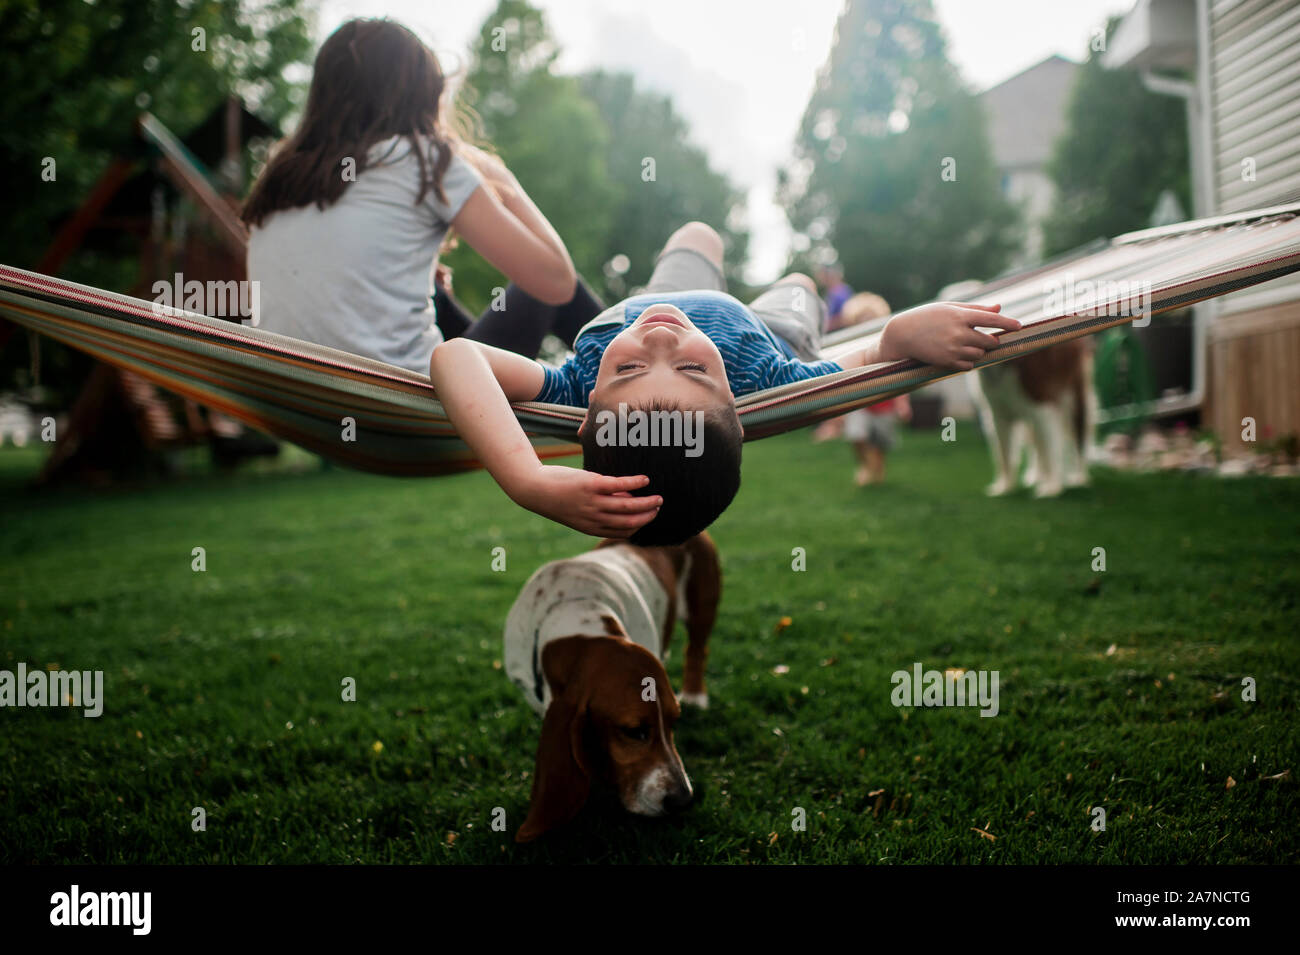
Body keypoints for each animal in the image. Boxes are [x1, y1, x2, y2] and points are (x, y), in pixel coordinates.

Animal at [501, 535, 722, 841]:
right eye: (634, 731)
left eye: (674, 721)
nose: (683, 800)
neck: (578, 613)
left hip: (702, 606)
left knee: (697, 650)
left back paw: (695, 696)